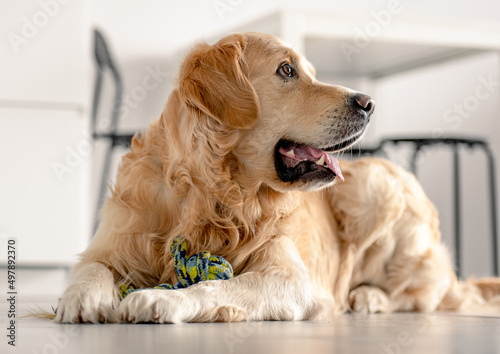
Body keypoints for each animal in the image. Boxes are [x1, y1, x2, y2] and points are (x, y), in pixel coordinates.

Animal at [54, 31, 500, 322]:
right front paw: (80, 299)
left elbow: (218, 285)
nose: (370, 103)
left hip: (377, 185)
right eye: (286, 70)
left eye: (311, 71)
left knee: (422, 295)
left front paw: (160, 300)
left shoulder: (290, 277)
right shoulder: (110, 245)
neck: (214, 193)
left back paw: (369, 297)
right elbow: (91, 268)